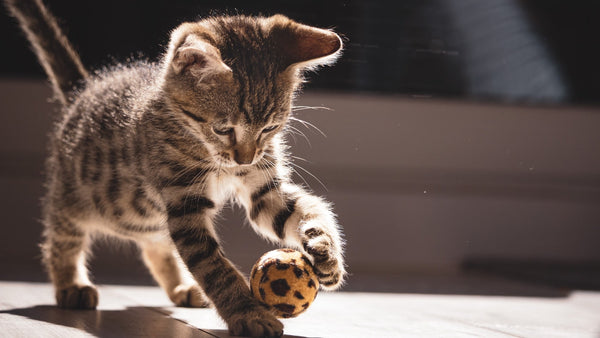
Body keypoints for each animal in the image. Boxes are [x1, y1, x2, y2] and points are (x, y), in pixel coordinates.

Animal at [7, 0, 346, 336]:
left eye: (270, 128)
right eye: (224, 129)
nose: (245, 159)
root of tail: (85, 92)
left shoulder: (263, 191)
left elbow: (303, 210)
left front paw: (325, 250)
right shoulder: (185, 203)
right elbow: (213, 266)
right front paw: (248, 313)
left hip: (149, 219)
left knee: (156, 246)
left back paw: (182, 288)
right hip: (73, 197)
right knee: (61, 237)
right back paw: (71, 284)